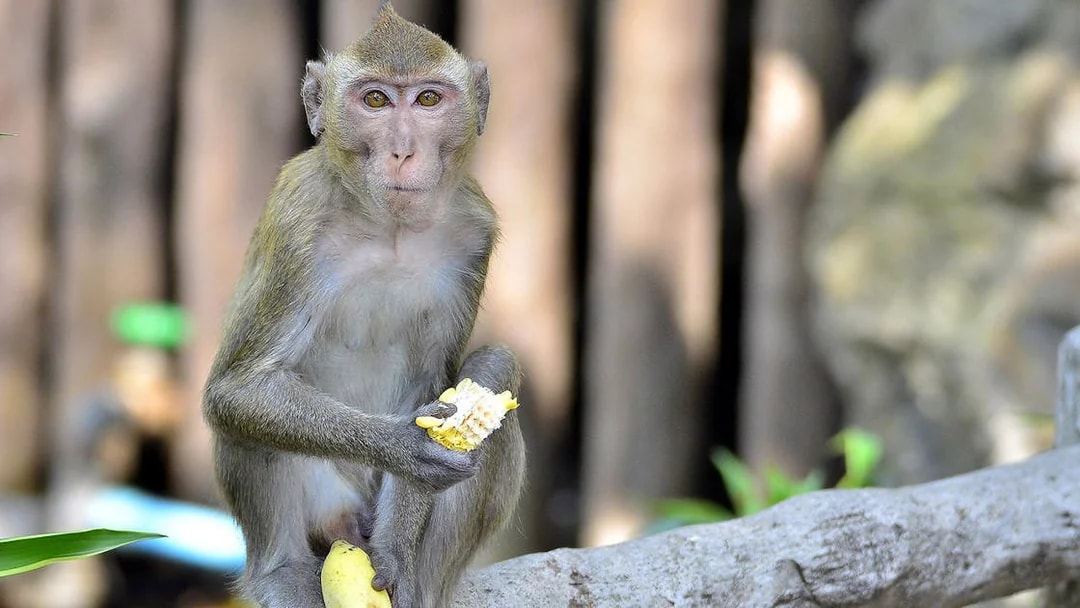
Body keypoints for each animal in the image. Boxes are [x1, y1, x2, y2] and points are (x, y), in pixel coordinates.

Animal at [201, 6, 526, 608]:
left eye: (428, 99)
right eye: (375, 100)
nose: (403, 151)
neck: (389, 229)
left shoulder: (474, 233)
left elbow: (435, 381)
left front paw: (396, 552)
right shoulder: (298, 224)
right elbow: (238, 389)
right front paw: (405, 448)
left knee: (495, 366)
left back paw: (420, 584)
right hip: (326, 500)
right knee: (244, 421)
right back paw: (280, 572)